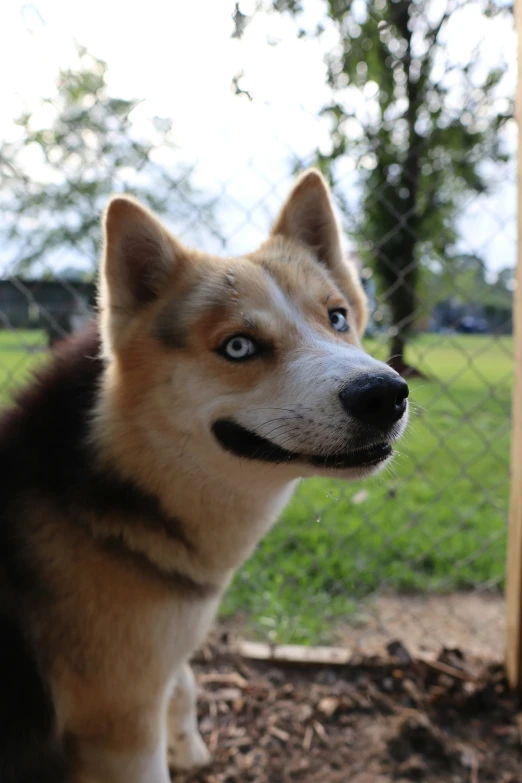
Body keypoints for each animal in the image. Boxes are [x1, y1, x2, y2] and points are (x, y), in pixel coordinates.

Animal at [0, 168, 406, 780]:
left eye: (337, 318)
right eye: (238, 346)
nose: (385, 394)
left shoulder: (156, 670)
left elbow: (185, 680)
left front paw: (189, 744)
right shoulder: (119, 721)